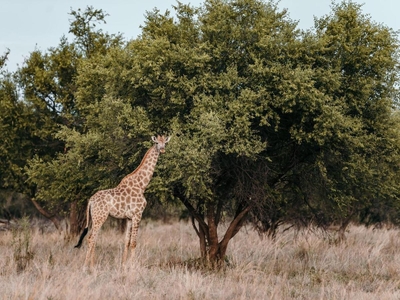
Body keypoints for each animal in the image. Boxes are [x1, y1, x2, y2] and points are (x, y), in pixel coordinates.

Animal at [75, 134, 170, 268]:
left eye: (165, 143)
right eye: (157, 143)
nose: (162, 150)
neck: (141, 185)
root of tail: (90, 201)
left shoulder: (129, 217)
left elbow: (126, 241)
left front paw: (124, 265)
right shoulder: (138, 214)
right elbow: (134, 242)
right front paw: (133, 266)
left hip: (94, 217)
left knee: (92, 238)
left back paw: (92, 265)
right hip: (100, 217)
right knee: (91, 238)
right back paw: (87, 266)